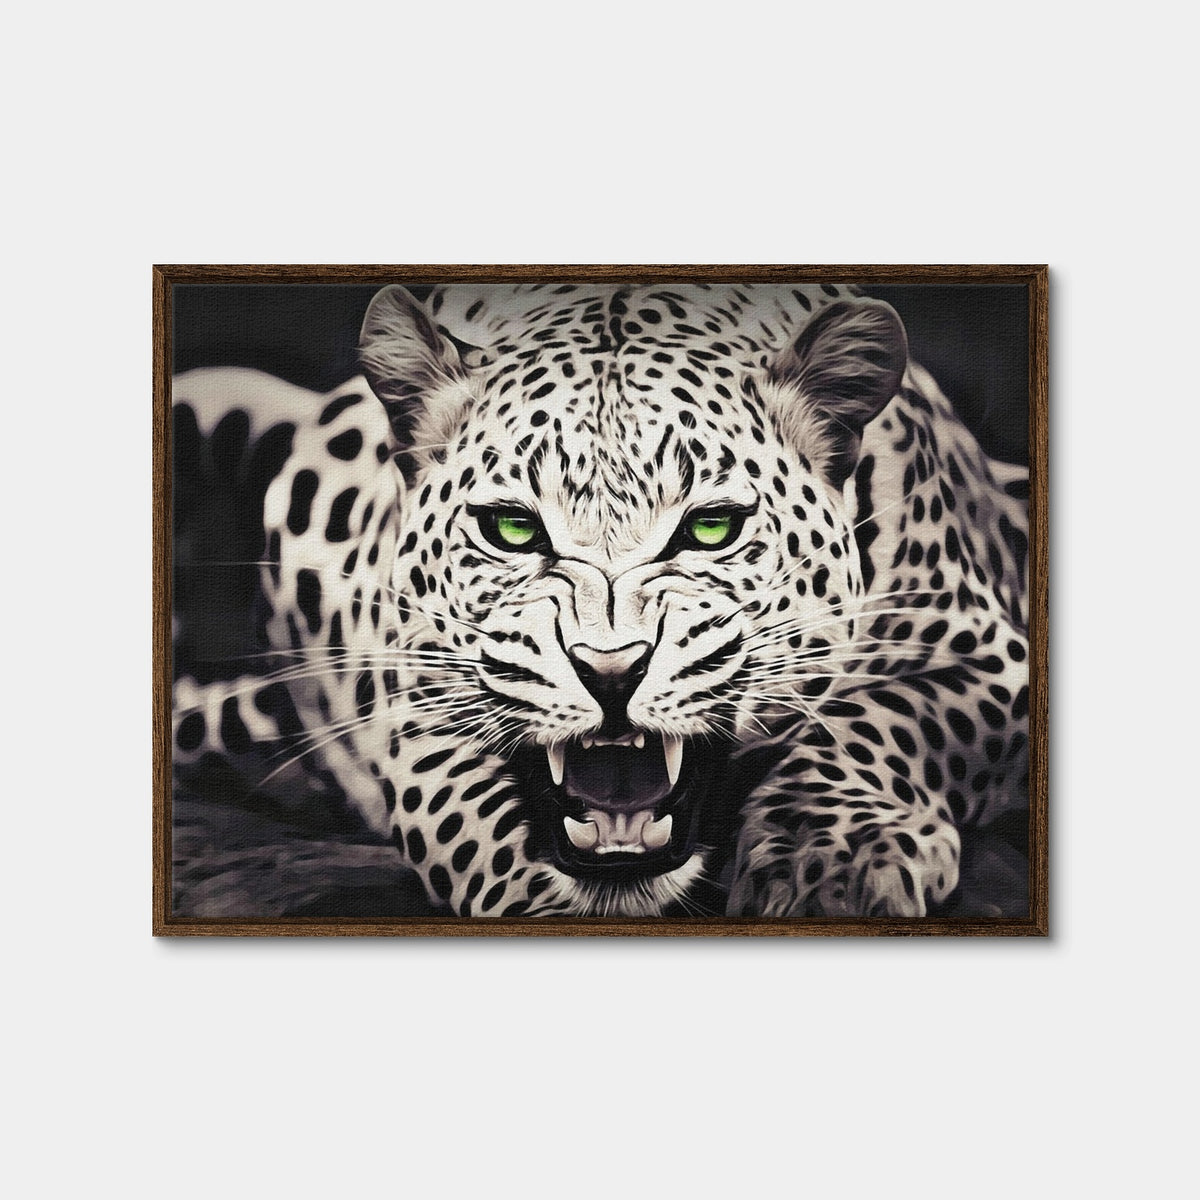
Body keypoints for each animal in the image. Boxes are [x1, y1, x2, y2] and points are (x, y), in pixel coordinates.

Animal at [171, 282, 1030, 919]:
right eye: (513, 528)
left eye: (710, 528)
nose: (610, 671)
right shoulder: (419, 706)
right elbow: (474, 822)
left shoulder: (990, 658)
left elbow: (883, 718)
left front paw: (833, 859)